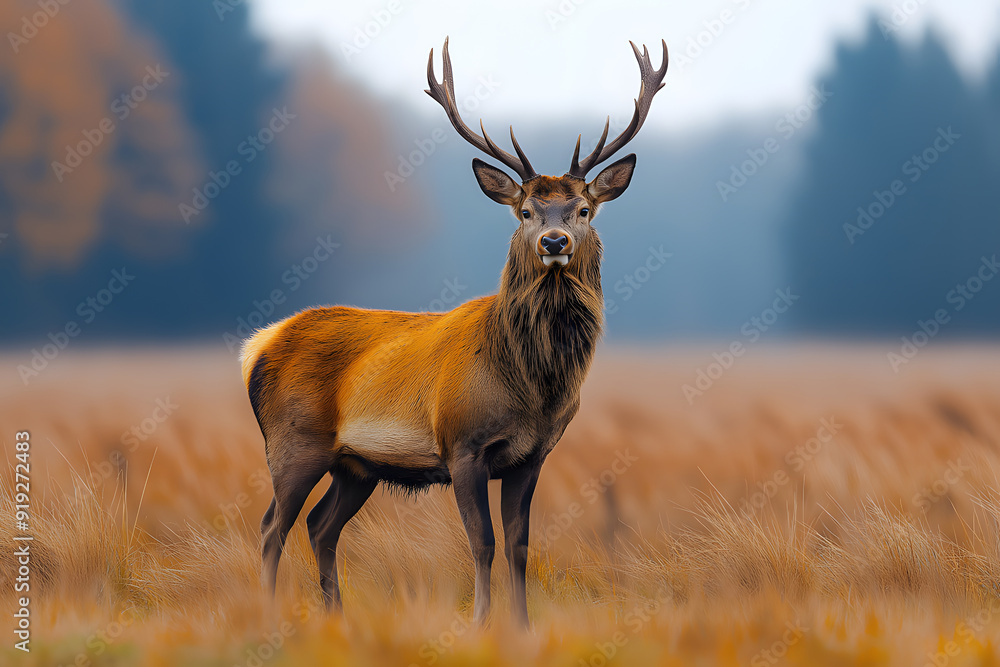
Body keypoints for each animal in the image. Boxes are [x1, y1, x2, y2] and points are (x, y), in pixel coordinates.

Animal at [240, 36, 668, 627]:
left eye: (584, 209)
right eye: (526, 211)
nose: (554, 241)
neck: (531, 386)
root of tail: (259, 345)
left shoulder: (532, 456)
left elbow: (519, 544)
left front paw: (522, 626)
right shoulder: (462, 444)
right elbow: (482, 541)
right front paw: (480, 623)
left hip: (356, 466)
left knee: (320, 526)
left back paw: (336, 616)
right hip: (293, 441)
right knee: (270, 527)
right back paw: (271, 615)